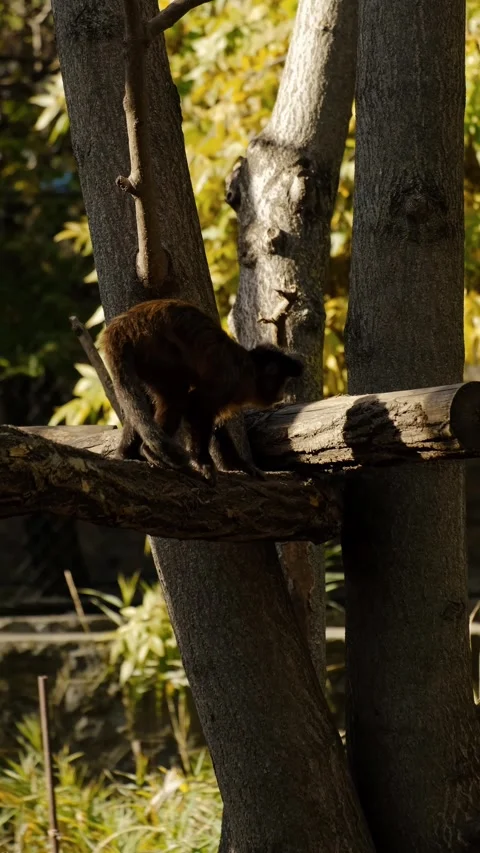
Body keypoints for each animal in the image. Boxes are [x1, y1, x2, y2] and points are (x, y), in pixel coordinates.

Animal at [102, 298, 303, 484]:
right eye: (281, 381)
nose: (280, 393)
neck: (247, 372)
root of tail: (124, 323)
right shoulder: (229, 380)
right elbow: (197, 405)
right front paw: (203, 462)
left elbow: (216, 422)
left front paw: (240, 465)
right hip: (155, 346)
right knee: (177, 396)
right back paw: (148, 451)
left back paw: (126, 455)